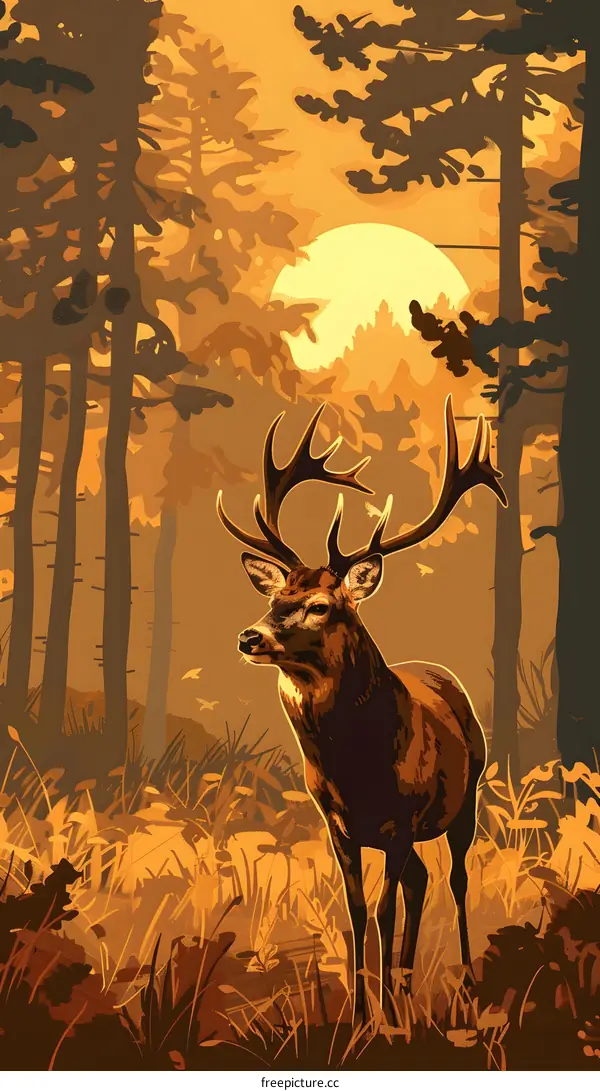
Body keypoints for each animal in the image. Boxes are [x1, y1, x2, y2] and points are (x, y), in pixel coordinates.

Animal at [216, 397, 506, 1028]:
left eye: (322, 606)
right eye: (275, 598)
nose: (248, 636)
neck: (357, 772)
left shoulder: (401, 819)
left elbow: (383, 910)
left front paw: (387, 1023)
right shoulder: (337, 825)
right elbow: (354, 913)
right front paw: (357, 1015)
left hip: (466, 797)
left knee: (454, 878)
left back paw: (463, 983)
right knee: (423, 880)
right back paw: (404, 986)